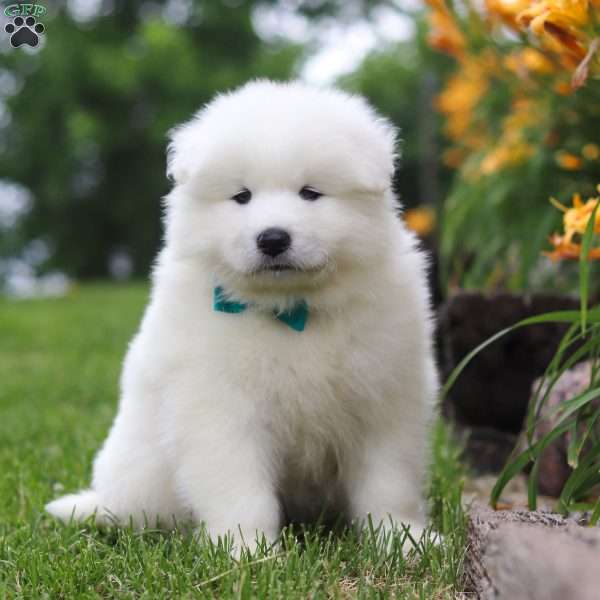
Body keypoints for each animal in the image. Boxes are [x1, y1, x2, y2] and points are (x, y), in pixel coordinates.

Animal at [47, 79, 438, 552]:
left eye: (310, 193)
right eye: (242, 197)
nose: (272, 239)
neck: (292, 309)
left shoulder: (386, 398)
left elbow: (389, 484)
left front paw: (404, 541)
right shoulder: (220, 408)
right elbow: (240, 489)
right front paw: (247, 551)